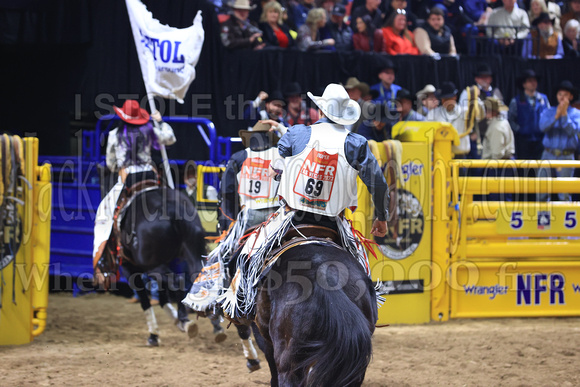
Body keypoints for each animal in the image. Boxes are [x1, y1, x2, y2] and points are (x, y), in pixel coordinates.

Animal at [94, 186, 223, 348]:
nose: (100, 278)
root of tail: (172, 208)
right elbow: (163, 298)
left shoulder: (130, 269)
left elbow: (145, 301)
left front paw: (154, 335)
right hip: (192, 252)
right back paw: (216, 326)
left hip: (151, 266)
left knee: (178, 281)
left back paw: (185, 321)